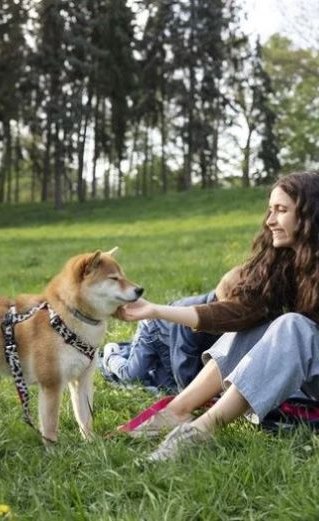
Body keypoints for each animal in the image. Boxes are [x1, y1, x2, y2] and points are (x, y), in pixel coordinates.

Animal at [0, 249, 143, 442]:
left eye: (124, 276)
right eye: (114, 278)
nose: (140, 289)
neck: (65, 318)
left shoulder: (81, 380)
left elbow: (84, 418)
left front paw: (90, 442)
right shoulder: (51, 384)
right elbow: (50, 426)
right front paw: (53, 449)